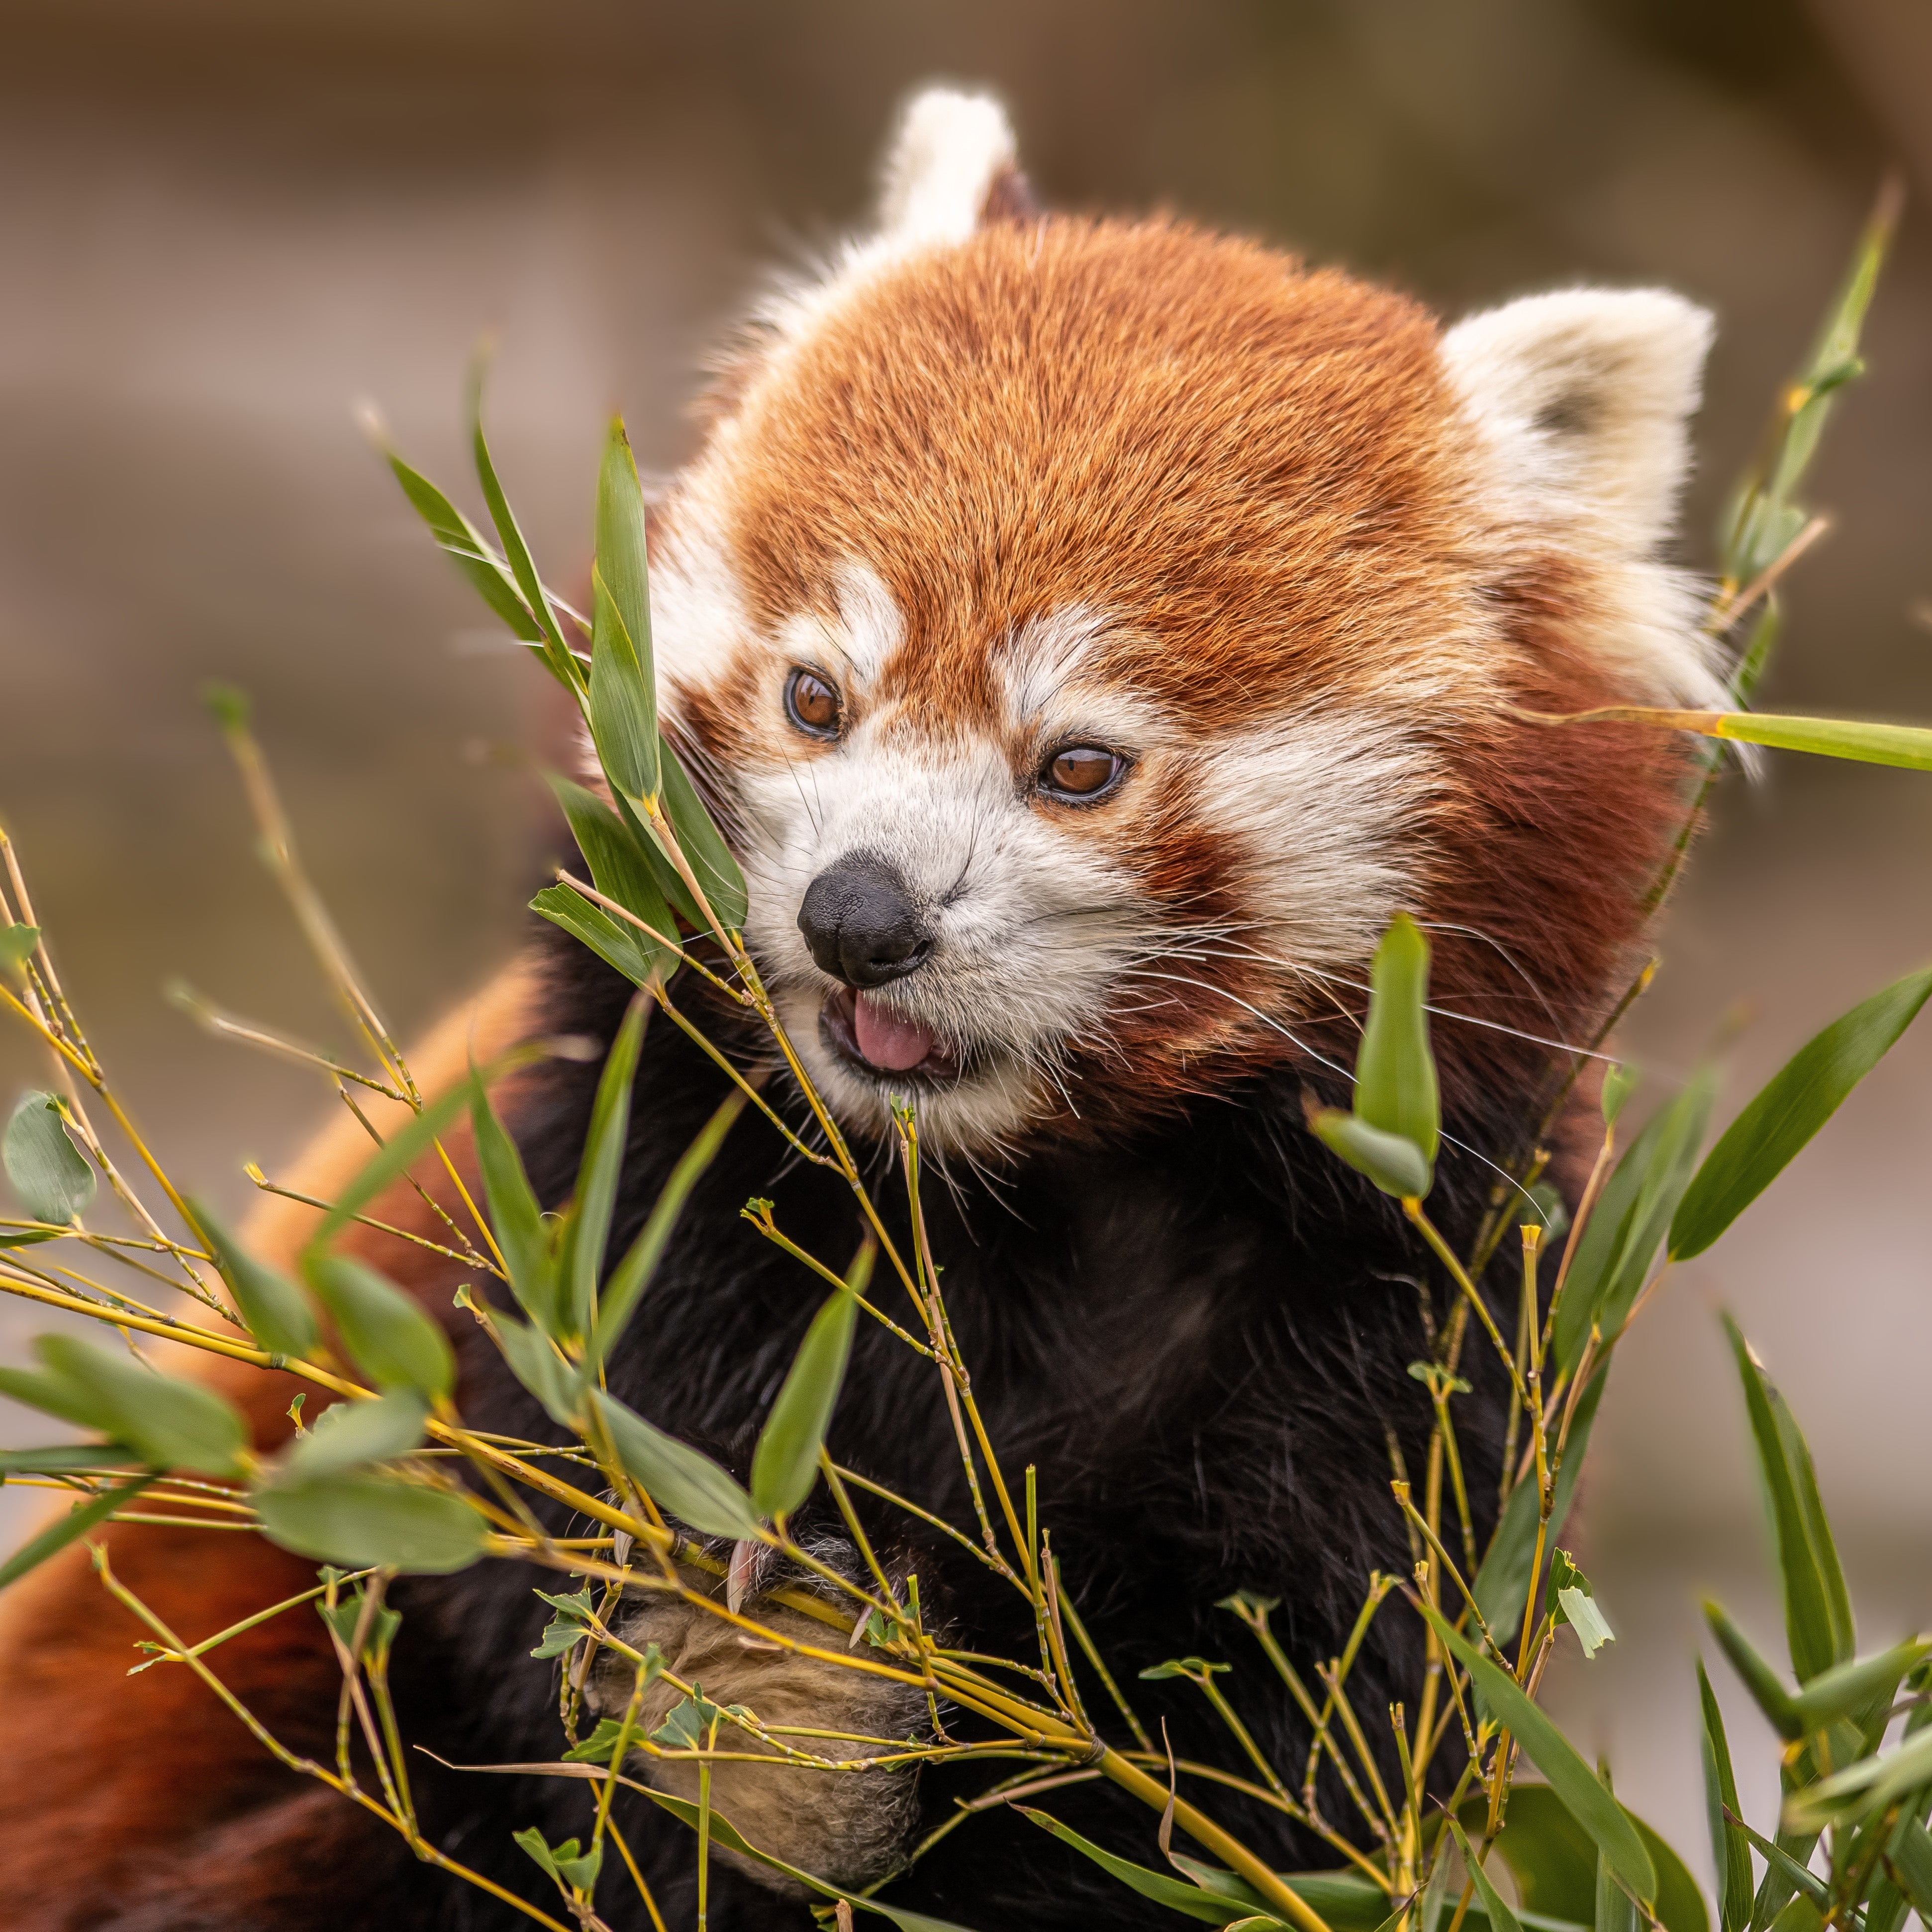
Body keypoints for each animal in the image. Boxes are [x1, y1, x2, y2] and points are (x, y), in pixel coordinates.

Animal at [0, 85, 1716, 1932]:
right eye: (816, 697)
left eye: (1077, 766)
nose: (859, 917)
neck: (1020, 1198)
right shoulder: (625, 1201)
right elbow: (530, 1611)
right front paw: (760, 1724)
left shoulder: (1419, 1299)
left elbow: (1265, 1767)